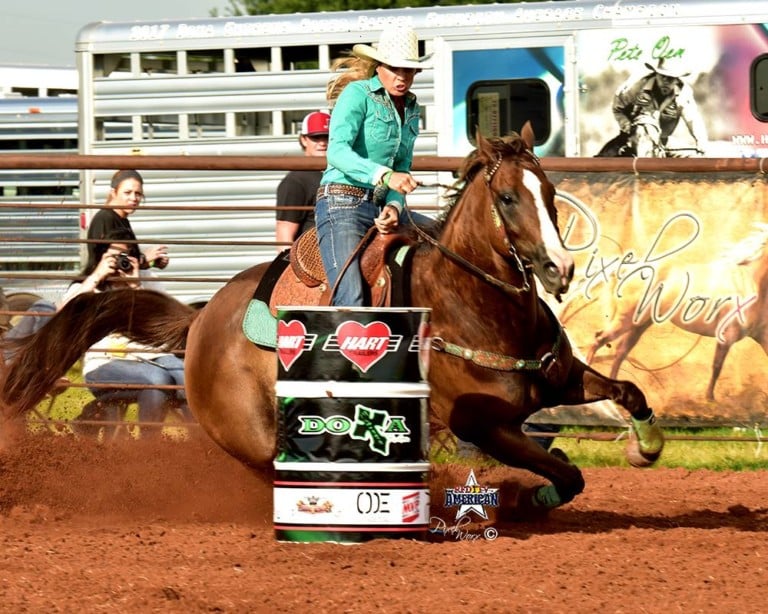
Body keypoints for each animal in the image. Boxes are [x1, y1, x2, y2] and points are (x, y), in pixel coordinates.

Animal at [0, 127, 664, 514]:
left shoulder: (560, 377)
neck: (475, 307)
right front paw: (535, 495)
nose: (559, 268)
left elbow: (629, 392)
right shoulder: (479, 423)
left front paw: (647, 446)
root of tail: (201, 320)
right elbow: (564, 470)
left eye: (549, 193)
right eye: (507, 198)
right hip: (254, 430)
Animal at [585, 224, 768, 401]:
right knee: (599, 340)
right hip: (627, 319)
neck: (750, 284)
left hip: (640, 324)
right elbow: (717, 366)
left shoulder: (761, 336)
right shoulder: (726, 337)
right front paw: (709, 399)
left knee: (620, 351)